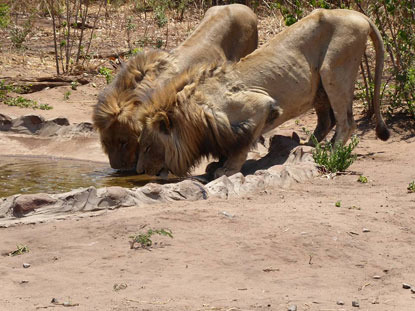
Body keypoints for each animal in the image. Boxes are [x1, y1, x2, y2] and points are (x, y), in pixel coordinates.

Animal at [136, 8, 390, 179]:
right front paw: (217, 163)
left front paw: (226, 169)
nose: (139, 170)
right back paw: (309, 145)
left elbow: (241, 145)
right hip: (320, 85)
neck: (192, 117)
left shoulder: (259, 105)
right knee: (327, 120)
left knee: (346, 122)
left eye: (148, 147)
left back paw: (330, 154)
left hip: (333, 70)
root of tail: (358, 14)